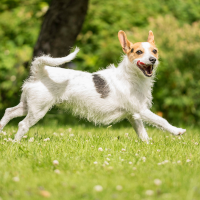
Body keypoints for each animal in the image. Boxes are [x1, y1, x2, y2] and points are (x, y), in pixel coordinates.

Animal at [0, 30, 186, 141]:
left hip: (27, 105)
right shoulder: (141, 110)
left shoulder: (134, 115)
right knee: (22, 124)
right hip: (38, 110)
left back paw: (2, 131)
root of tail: (39, 71)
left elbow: (142, 133)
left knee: (9, 112)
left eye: (154, 51)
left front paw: (147, 145)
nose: (153, 59)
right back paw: (16, 142)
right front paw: (176, 130)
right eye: (139, 52)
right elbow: (161, 120)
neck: (131, 77)